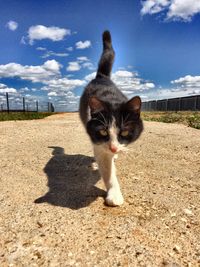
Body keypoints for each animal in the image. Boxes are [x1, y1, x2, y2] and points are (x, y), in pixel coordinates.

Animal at [79, 30, 143, 207]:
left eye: (125, 132)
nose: (114, 148)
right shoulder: (99, 143)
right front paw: (114, 195)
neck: (111, 99)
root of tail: (101, 76)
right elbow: (107, 170)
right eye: (102, 132)